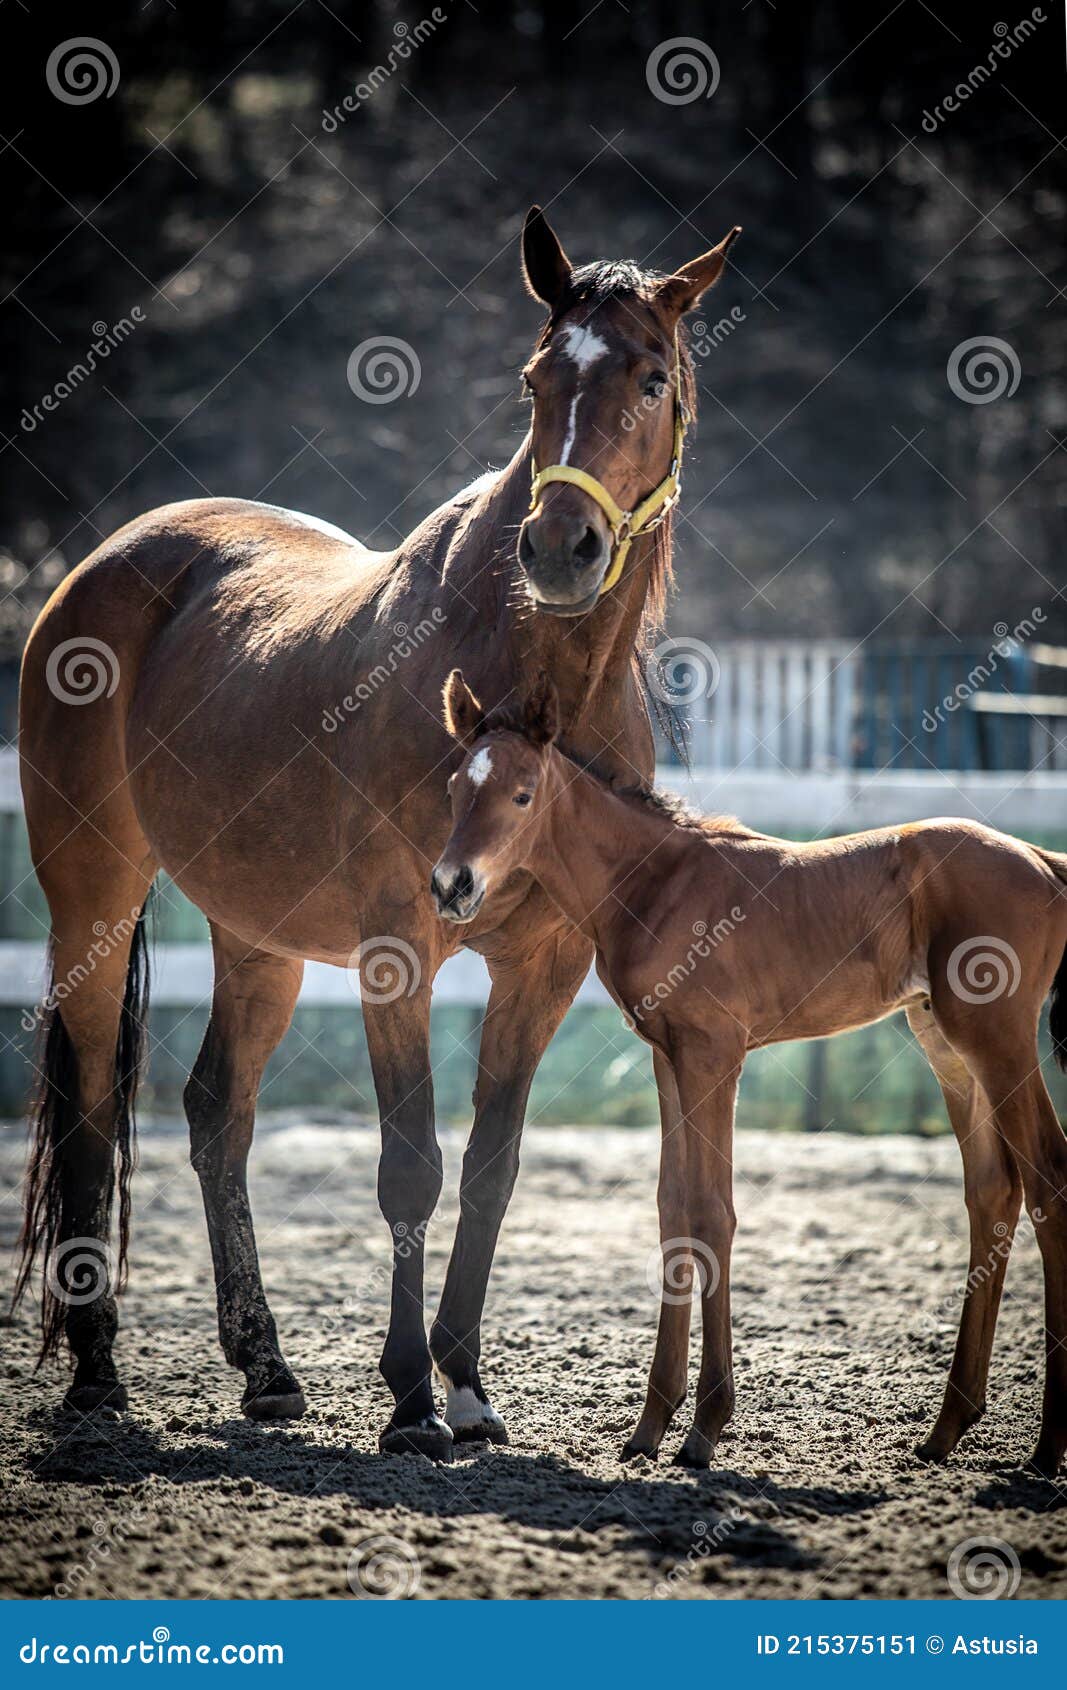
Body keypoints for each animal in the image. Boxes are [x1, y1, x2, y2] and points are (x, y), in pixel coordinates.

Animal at [429, 672, 1067, 1480]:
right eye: (456, 788)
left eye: (520, 794)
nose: (450, 885)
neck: (656, 881)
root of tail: (1043, 859)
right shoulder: (668, 1057)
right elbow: (673, 1211)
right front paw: (650, 1427)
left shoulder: (714, 1054)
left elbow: (712, 1214)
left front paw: (705, 1428)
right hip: (948, 1048)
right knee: (992, 1192)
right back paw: (945, 1430)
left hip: (998, 1041)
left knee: (1048, 1181)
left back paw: (1046, 1448)